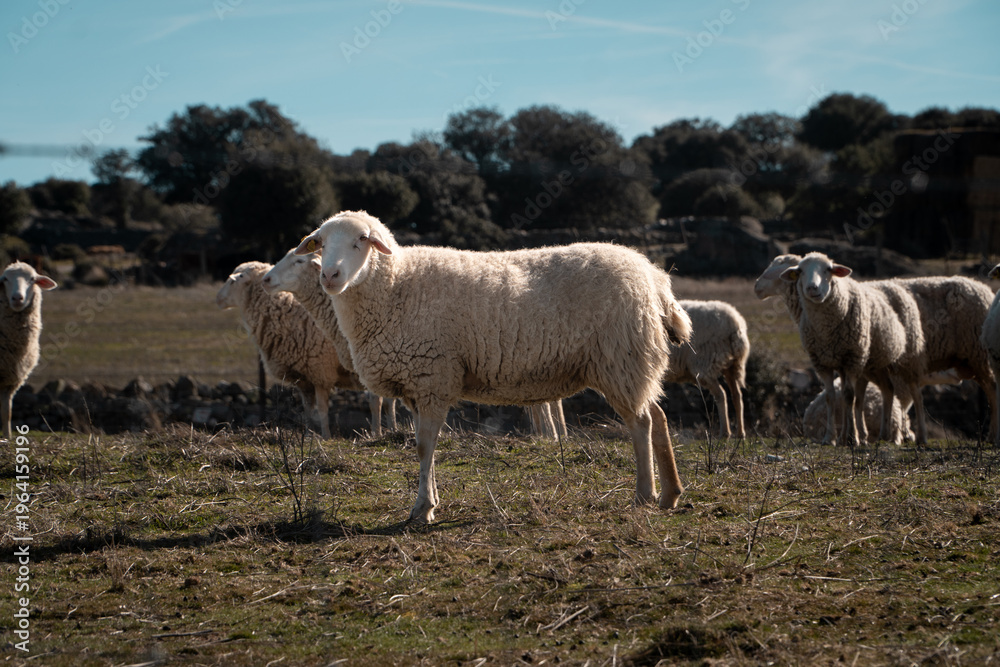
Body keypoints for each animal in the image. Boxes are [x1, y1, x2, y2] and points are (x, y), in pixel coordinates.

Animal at [0, 262, 57, 439]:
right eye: (5, 279)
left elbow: (7, 412)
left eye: (32, 279)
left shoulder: (11, 380)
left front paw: (7, 437)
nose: (17, 298)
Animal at [216, 261, 368, 439]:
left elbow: (322, 410)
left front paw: (326, 437)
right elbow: (307, 410)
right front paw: (308, 435)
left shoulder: (321, 372)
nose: (217, 299)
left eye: (232, 281)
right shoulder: (304, 378)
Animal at [294, 210, 693, 523]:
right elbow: (425, 446)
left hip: (620, 357)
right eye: (320, 243)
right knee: (656, 416)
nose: (329, 276)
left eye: (362, 240)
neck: (396, 286)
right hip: (631, 363)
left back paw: (644, 494)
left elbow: (424, 446)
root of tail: (653, 276)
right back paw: (670, 494)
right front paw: (430, 502)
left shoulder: (433, 376)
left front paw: (422, 508)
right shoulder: (417, 386)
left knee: (640, 423)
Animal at [664, 300, 749, 439]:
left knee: (721, 394)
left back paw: (725, 433)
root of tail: (735, 324)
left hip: (704, 364)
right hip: (731, 366)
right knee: (736, 395)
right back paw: (741, 433)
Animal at [780, 252, 927, 447]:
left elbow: (849, 396)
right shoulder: (823, 362)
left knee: (916, 394)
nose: (812, 288)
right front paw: (831, 438)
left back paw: (921, 437)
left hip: (909, 357)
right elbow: (832, 397)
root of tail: (892, 282)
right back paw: (884, 434)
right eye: (800, 271)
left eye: (828, 269)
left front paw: (851, 437)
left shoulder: (852, 359)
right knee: (888, 390)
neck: (826, 329)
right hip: (874, 364)